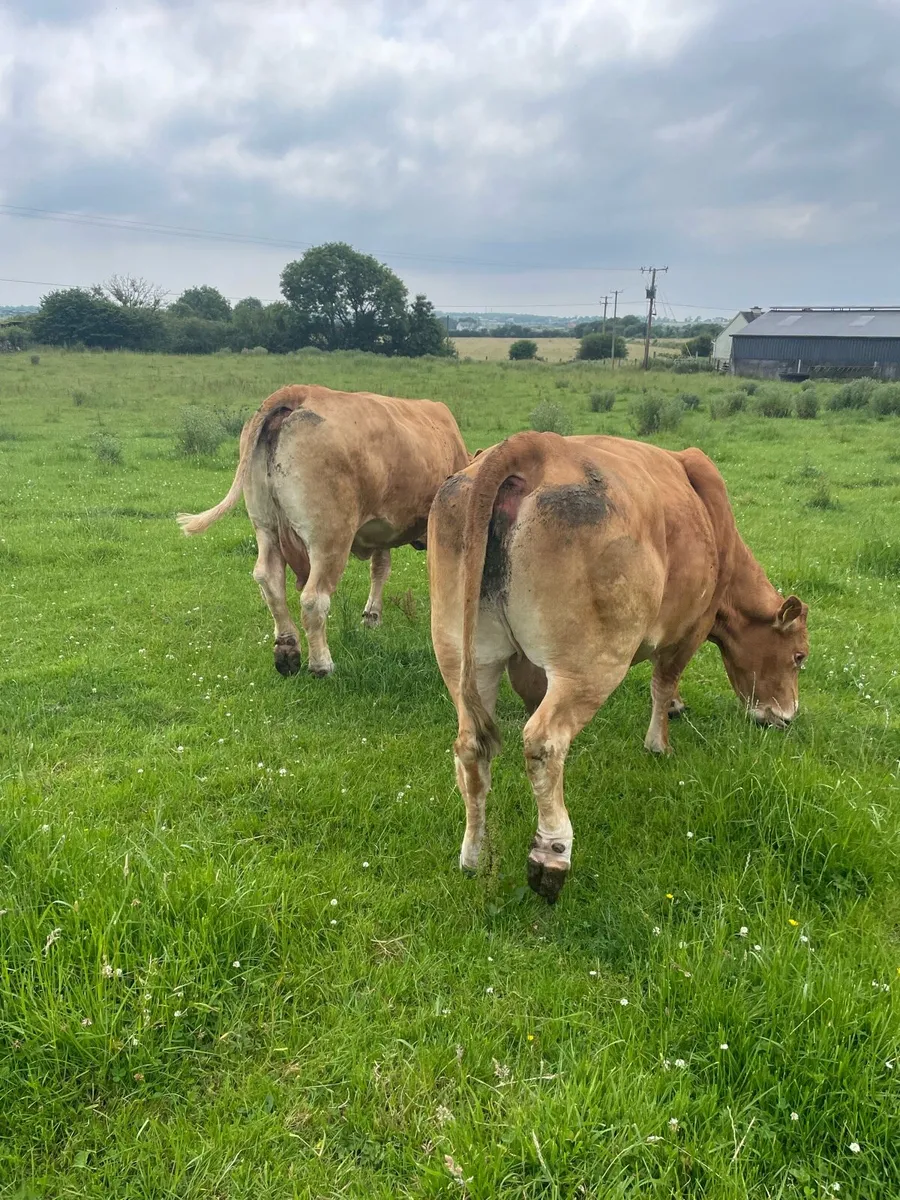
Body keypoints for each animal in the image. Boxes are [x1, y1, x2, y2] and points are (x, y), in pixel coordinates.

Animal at [177, 384, 469, 677]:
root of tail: (301, 392)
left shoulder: (381, 528)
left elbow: (380, 568)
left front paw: (372, 616)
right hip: (329, 537)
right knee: (313, 598)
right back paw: (321, 664)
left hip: (266, 526)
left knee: (269, 581)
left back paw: (287, 650)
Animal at [428, 431, 809, 903]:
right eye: (799, 656)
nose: (788, 716)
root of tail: (536, 444)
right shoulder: (693, 625)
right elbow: (664, 681)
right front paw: (660, 741)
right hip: (593, 663)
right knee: (543, 741)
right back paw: (551, 854)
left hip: (464, 655)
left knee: (471, 745)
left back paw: (474, 855)